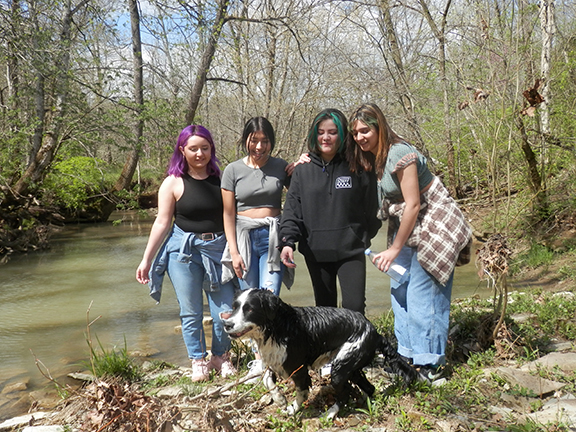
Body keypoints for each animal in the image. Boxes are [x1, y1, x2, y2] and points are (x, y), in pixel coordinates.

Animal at [222, 288, 418, 416]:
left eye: (249, 309)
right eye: (235, 307)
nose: (227, 324)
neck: (277, 328)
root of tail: (375, 332)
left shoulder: (298, 369)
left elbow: (301, 392)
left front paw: (292, 408)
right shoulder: (274, 361)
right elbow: (266, 380)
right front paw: (279, 399)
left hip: (340, 369)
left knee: (345, 392)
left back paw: (331, 412)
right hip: (351, 367)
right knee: (369, 388)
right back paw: (364, 401)